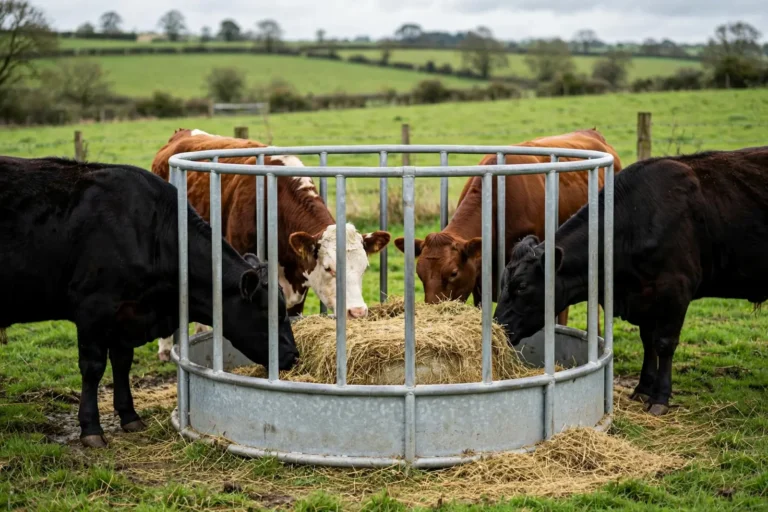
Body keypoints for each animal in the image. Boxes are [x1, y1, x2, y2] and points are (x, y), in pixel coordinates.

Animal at [0, 156, 299, 447]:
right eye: (270, 312)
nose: (294, 356)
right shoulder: (92, 309)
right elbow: (93, 367)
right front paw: (91, 428)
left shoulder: (126, 314)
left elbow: (122, 361)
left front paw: (130, 416)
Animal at [493, 146, 768, 415]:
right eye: (503, 282)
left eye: (522, 286)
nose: (499, 327)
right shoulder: (644, 296)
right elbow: (647, 340)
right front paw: (642, 388)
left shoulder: (676, 290)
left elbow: (664, 343)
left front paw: (660, 397)